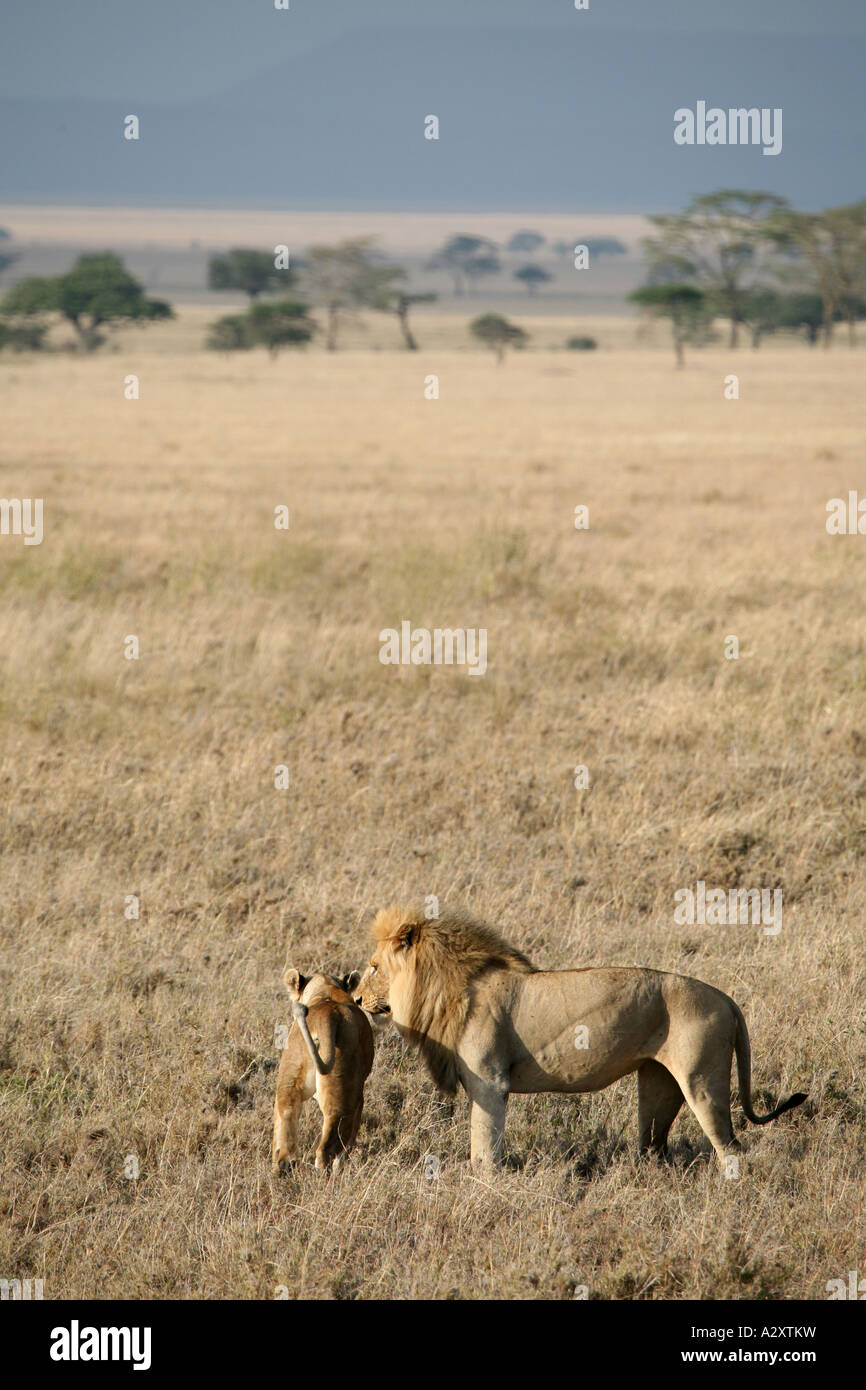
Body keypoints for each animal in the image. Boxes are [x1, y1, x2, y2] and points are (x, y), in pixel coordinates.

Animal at [272, 969, 374, 1175]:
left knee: (285, 1117)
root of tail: (328, 1015)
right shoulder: (359, 1097)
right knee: (327, 1147)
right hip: (343, 1089)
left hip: (290, 1074)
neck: (327, 990)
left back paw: (282, 1169)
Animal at [355, 906, 807, 1173]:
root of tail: (728, 999)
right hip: (658, 1083)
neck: (448, 987)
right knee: (654, 1144)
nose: (356, 998)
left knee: (731, 1148)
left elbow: (483, 1146)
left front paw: (483, 1186)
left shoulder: (489, 1082)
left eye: (374, 966)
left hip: (702, 1081)